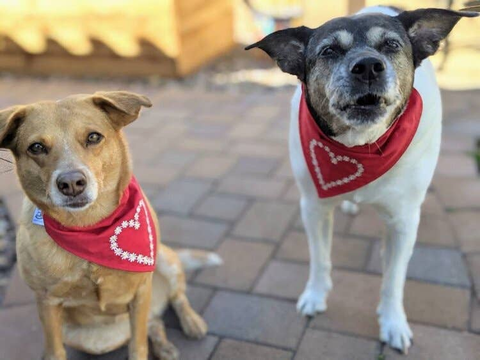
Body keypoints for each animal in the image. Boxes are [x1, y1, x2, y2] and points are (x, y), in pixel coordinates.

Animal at [0, 91, 221, 358]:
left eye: (93, 137)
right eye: (36, 147)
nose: (71, 183)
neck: (89, 228)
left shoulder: (140, 292)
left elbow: (138, 345)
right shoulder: (46, 302)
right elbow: (55, 351)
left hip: (164, 258)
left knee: (177, 297)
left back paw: (191, 323)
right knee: (155, 322)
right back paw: (164, 346)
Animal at [248, 5, 476, 354]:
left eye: (392, 45)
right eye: (328, 50)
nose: (368, 66)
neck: (361, 148)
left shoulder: (403, 222)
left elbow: (394, 279)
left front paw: (393, 323)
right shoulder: (313, 208)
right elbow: (320, 259)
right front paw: (315, 295)